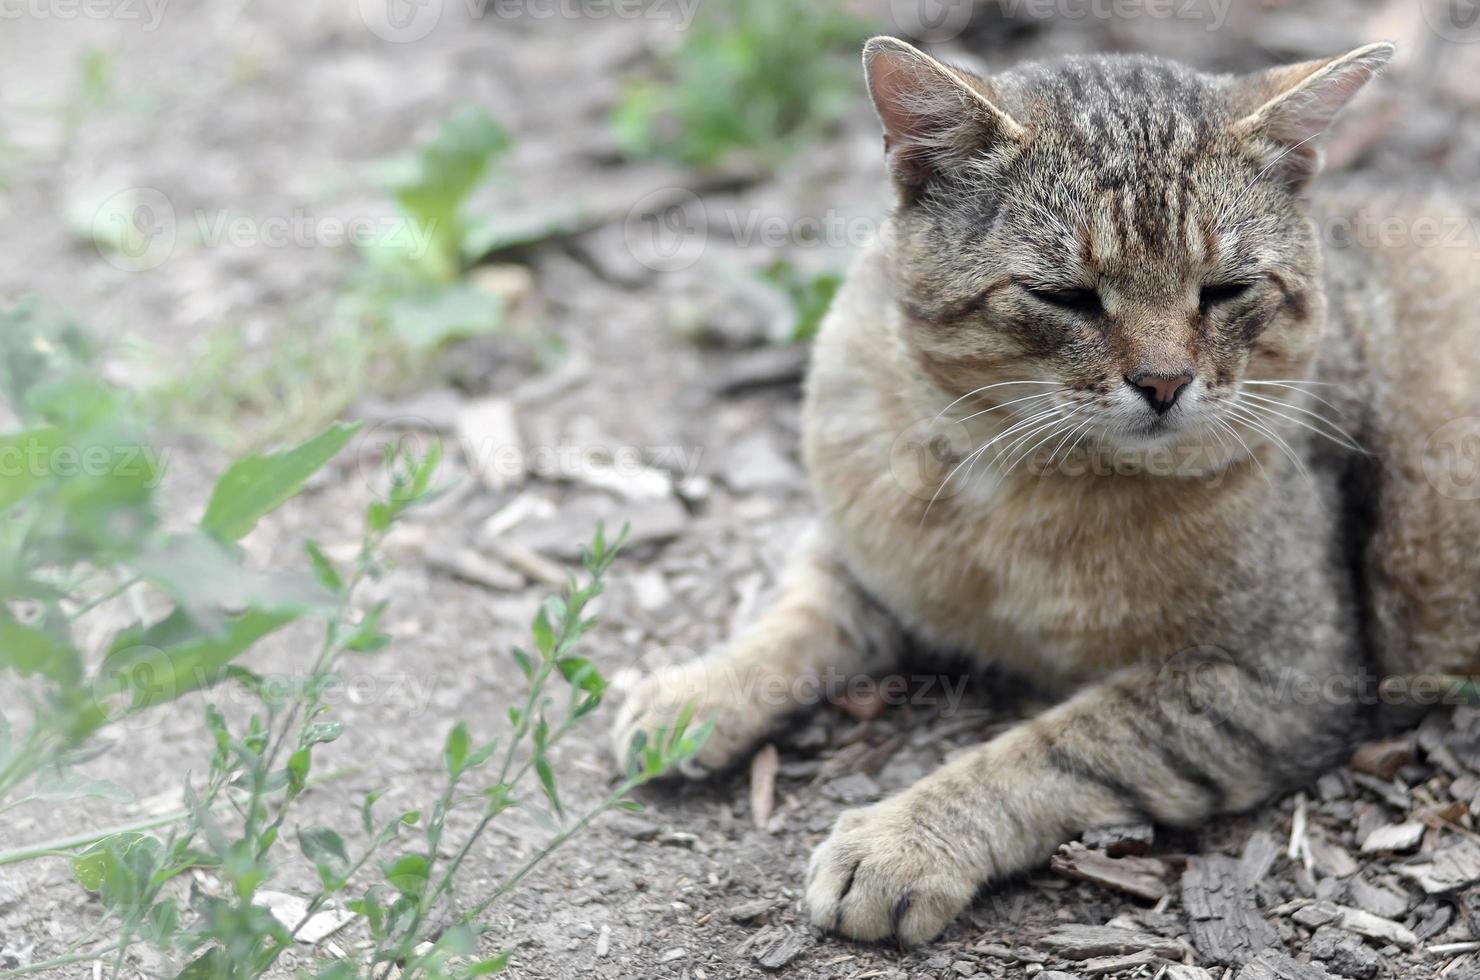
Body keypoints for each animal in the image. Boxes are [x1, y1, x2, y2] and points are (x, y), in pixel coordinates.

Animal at [612, 34, 1480, 947]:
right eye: (1066, 296)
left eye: (1226, 290)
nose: (1164, 383)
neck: (1017, 482)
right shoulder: (862, 548)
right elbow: (799, 615)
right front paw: (697, 692)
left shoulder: (1283, 675)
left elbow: (1054, 749)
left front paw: (903, 839)